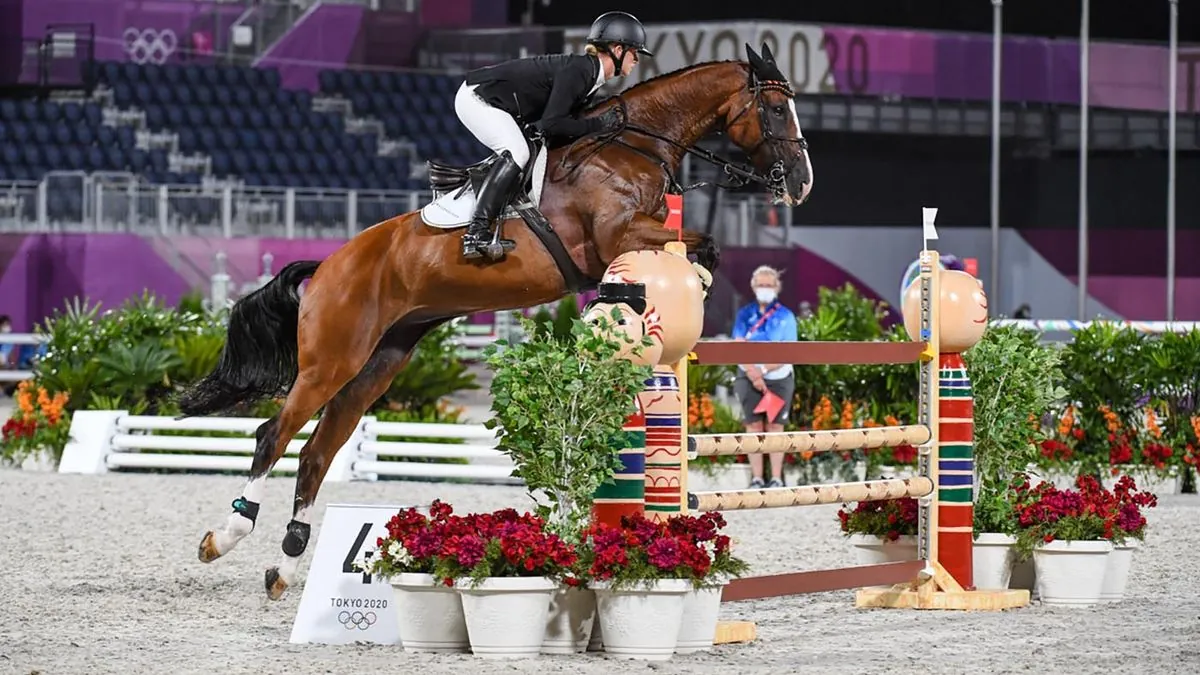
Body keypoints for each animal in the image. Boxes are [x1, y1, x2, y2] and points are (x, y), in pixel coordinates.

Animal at [177, 43, 816, 598]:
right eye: (775, 108)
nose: (801, 182)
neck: (634, 144)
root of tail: (330, 262)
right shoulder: (615, 235)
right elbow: (688, 249)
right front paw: (645, 296)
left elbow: (703, 249)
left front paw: (670, 291)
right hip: (332, 359)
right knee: (273, 435)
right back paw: (224, 537)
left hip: (379, 362)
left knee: (317, 451)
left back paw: (288, 560)